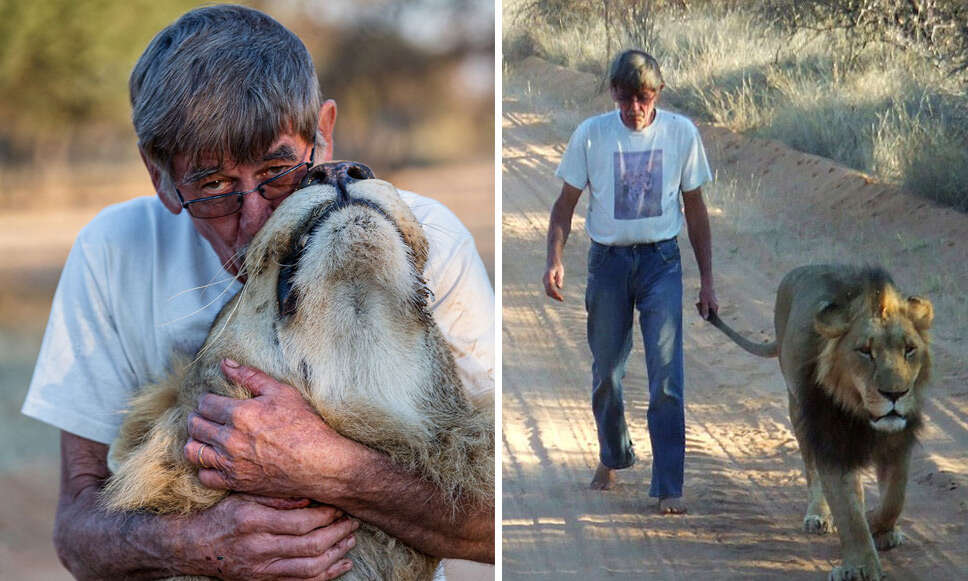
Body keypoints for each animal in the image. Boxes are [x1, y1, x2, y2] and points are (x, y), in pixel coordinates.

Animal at [704, 264, 932, 580]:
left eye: (909, 349)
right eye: (865, 351)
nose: (895, 394)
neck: (861, 413)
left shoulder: (898, 442)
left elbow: (894, 498)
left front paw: (881, 528)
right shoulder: (831, 442)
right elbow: (848, 511)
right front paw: (860, 567)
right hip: (799, 411)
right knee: (811, 468)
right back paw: (817, 515)